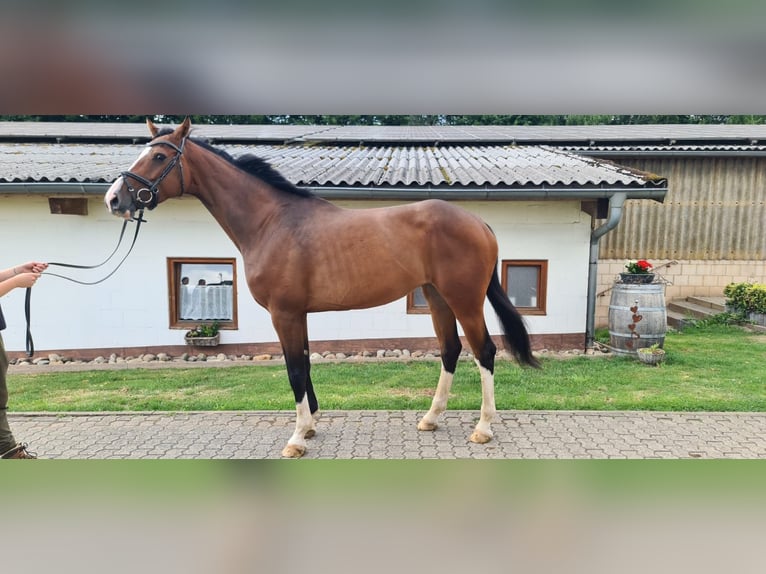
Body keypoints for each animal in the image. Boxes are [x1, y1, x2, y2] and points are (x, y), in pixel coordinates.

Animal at [105, 117, 540, 458]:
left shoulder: (284, 313)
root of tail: (479, 222)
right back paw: (431, 419)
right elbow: (305, 363)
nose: (114, 199)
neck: (271, 222)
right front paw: (311, 425)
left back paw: (482, 428)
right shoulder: (298, 314)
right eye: (145, 152)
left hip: (464, 299)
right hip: (436, 297)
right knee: (450, 350)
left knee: (484, 351)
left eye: (159, 157)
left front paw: (297, 438)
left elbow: (294, 369)